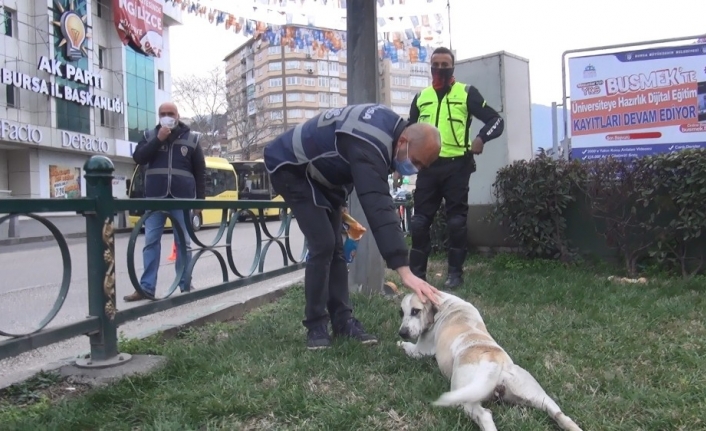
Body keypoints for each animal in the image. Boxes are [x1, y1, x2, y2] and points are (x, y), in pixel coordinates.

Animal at [396, 290, 584, 431]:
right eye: (401, 313)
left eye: (415, 311)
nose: (402, 332)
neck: (444, 303)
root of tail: (493, 358)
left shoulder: (420, 351)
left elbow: (407, 347)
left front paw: (399, 343)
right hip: (536, 394)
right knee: (558, 412)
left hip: (463, 396)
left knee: (484, 414)